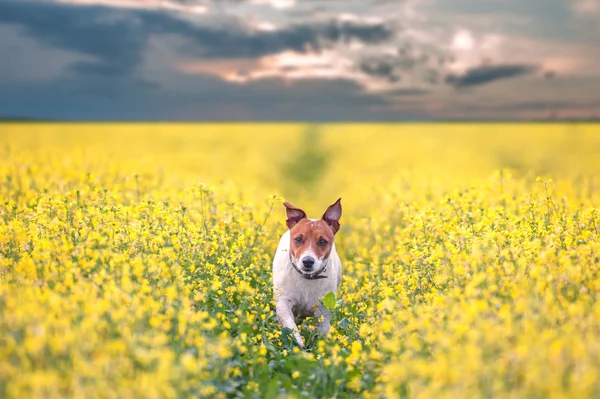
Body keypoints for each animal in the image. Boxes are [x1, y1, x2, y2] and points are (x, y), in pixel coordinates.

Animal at [272, 198, 342, 348]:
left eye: (323, 241)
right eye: (298, 239)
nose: (308, 261)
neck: (307, 279)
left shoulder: (323, 311)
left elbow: (321, 332)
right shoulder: (283, 302)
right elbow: (290, 326)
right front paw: (298, 343)